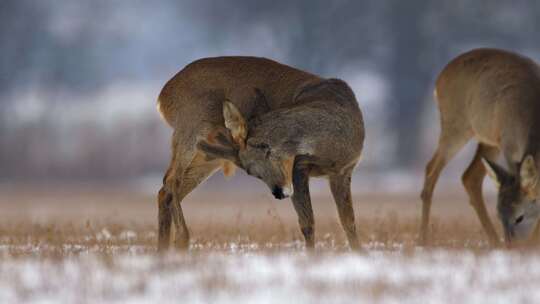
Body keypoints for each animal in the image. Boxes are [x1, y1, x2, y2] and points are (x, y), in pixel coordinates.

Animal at [157, 55, 368, 251]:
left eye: (269, 150)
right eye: (253, 173)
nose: (279, 192)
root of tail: (163, 96)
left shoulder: (343, 171)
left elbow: (349, 222)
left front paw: (359, 254)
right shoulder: (300, 167)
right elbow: (308, 223)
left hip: (209, 153)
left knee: (166, 190)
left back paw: (164, 251)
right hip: (190, 125)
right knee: (171, 181)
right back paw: (181, 240)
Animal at [420, 48, 540, 246]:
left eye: (520, 217)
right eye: (499, 216)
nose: (511, 246)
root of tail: (439, 79)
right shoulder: (509, 146)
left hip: (487, 139)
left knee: (469, 176)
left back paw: (494, 241)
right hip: (456, 126)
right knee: (431, 169)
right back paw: (423, 239)